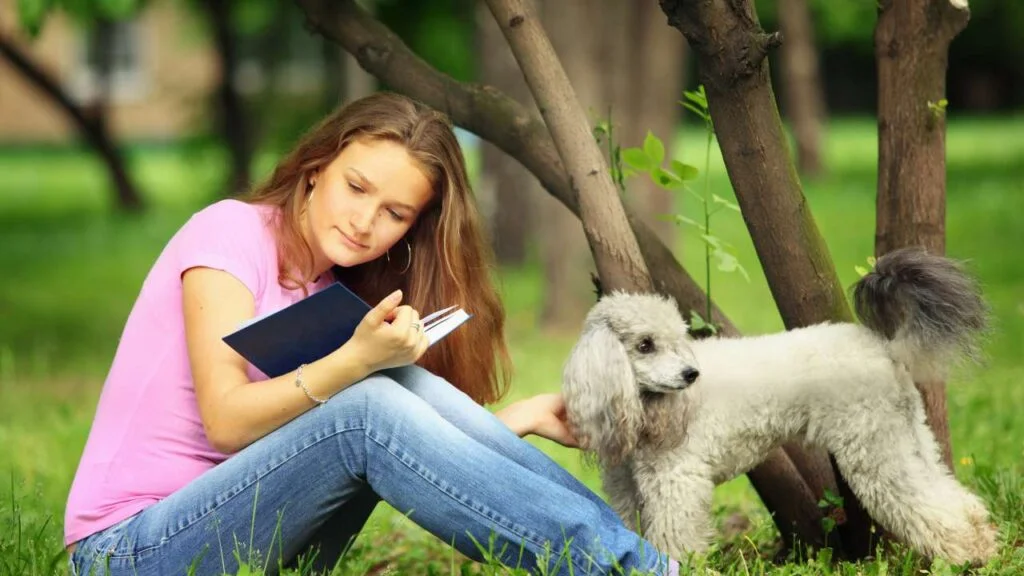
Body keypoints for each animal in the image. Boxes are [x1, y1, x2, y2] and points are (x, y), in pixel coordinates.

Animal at [561, 247, 999, 565]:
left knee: (927, 508)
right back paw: (985, 545)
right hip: (908, 436)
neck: (647, 409)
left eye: (677, 339)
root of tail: (886, 350)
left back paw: (967, 556)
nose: (690, 374)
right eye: (645, 344)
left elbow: (674, 537)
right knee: (952, 497)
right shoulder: (628, 487)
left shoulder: (676, 481)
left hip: (874, 449)